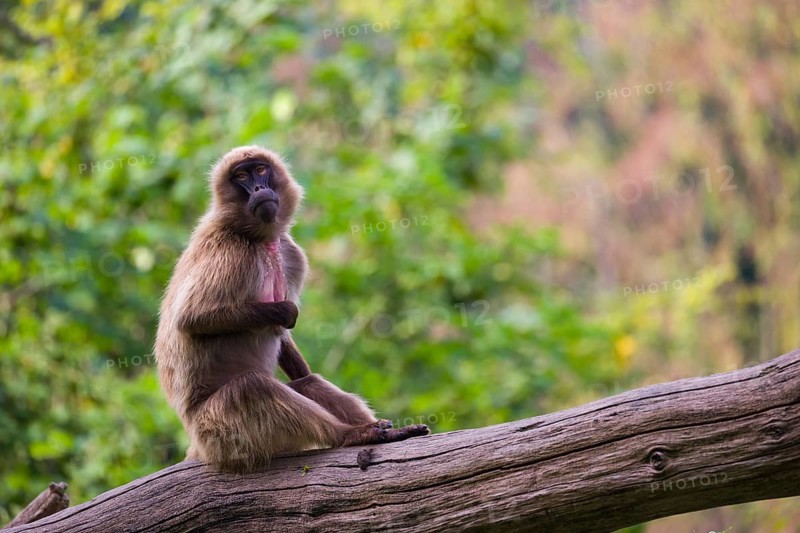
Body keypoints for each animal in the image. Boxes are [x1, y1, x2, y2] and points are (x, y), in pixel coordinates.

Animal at [155, 145, 428, 473]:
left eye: (260, 170)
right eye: (242, 176)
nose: (259, 188)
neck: (261, 239)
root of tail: (196, 444)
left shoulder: (291, 253)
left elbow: (293, 356)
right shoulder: (230, 252)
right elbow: (192, 319)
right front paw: (284, 312)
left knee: (307, 383)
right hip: (219, 433)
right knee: (252, 387)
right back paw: (350, 434)